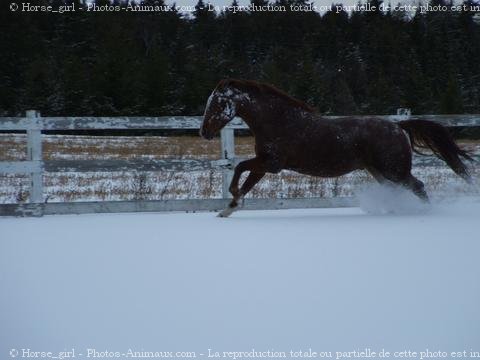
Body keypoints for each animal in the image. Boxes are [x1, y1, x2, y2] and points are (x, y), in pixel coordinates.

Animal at [199, 79, 472, 217]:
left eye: (216, 103)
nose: (204, 132)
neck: (279, 121)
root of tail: (398, 126)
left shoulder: (271, 164)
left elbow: (239, 170)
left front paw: (232, 197)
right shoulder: (264, 164)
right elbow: (244, 178)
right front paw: (228, 209)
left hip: (395, 170)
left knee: (418, 187)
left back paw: (426, 213)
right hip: (380, 171)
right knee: (399, 190)